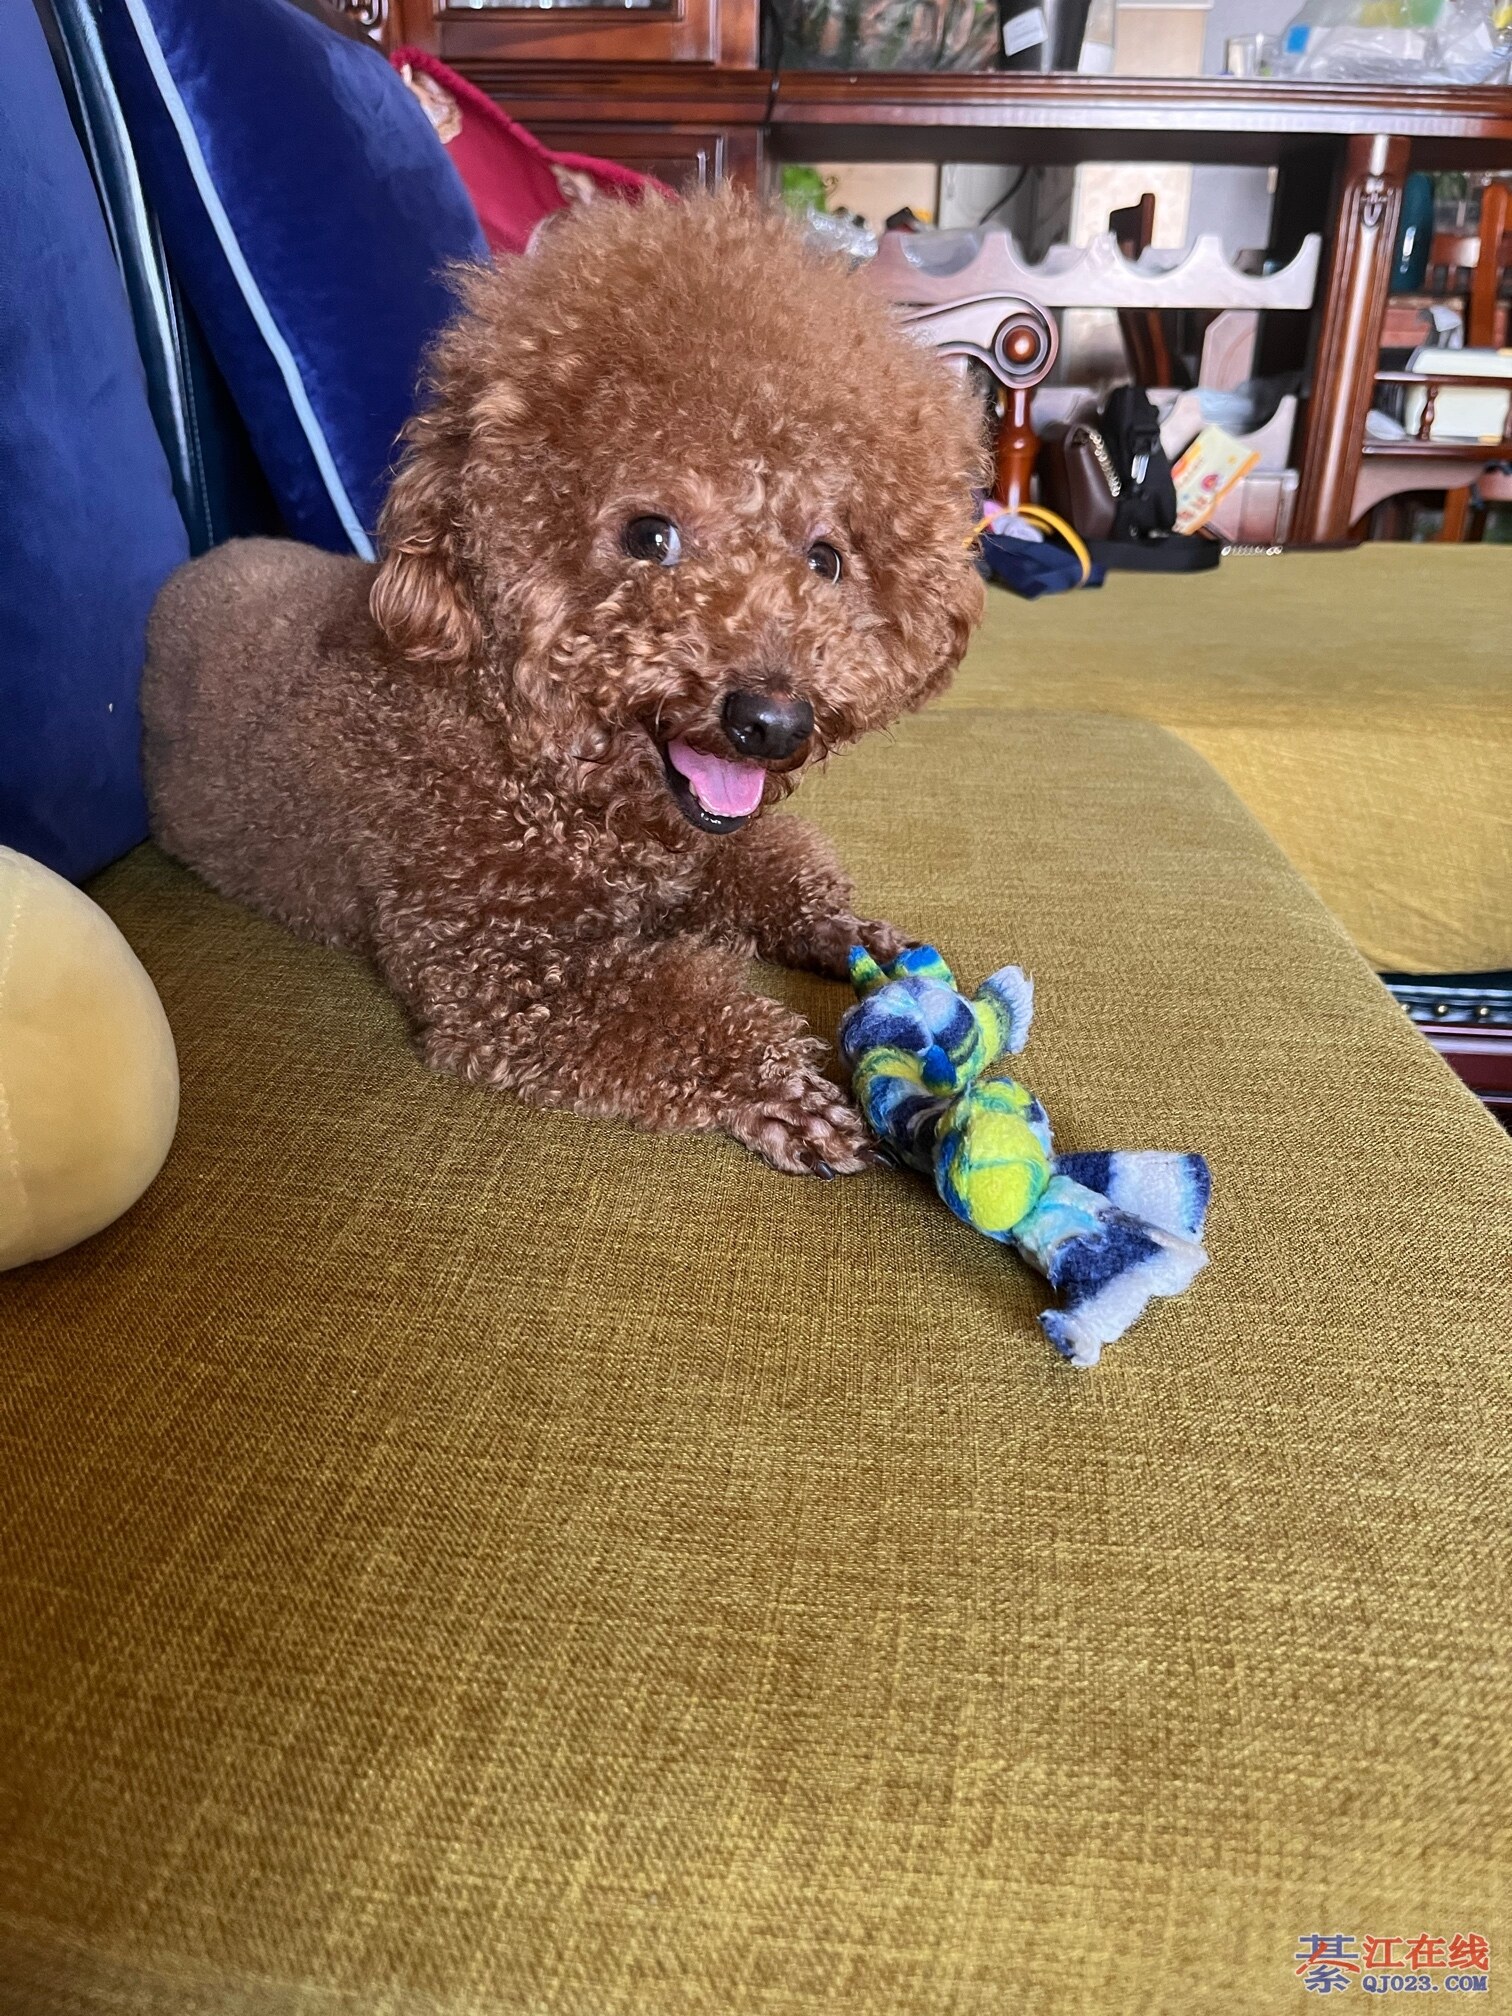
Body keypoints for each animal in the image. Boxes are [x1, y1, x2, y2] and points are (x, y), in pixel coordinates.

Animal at [142, 188, 986, 1176]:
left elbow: (777, 872)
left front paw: (854, 938)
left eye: (825, 559)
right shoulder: (500, 971)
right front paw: (791, 1092)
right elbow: (673, 1010)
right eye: (649, 535)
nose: (775, 720)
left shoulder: (705, 849)